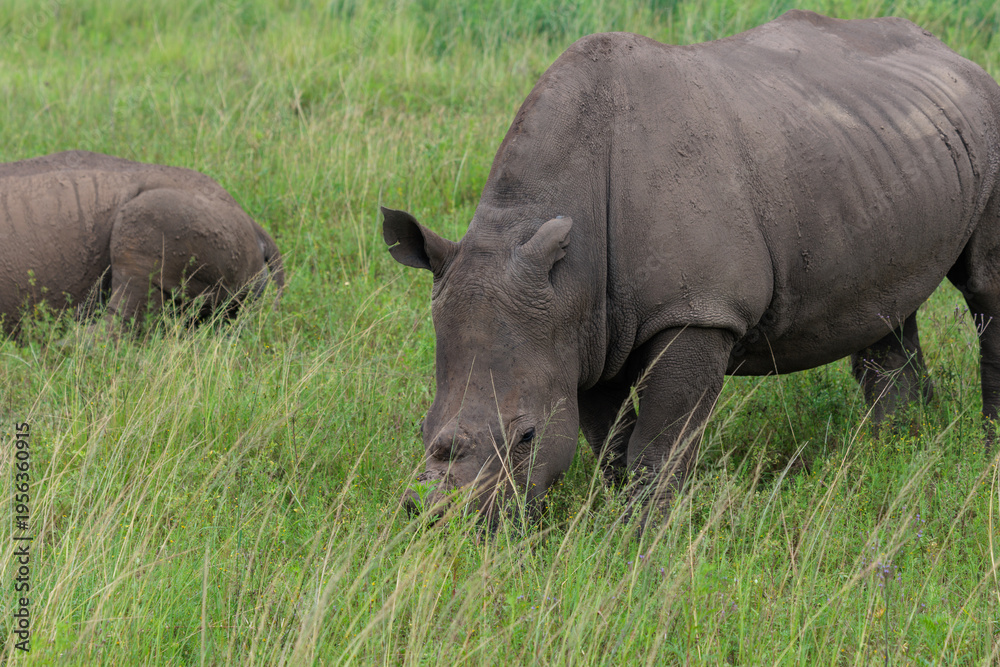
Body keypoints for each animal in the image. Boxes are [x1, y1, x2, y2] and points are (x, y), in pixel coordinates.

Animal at [383, 10, 1000, 523]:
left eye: (527, 437)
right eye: (422, 428)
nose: (439, 520)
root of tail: (953, 54)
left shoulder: (698, 310)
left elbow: (660, 438)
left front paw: (646, 533)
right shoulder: (583, 331)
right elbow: (609, 437)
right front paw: (620, 513)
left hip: (985, 117)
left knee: (984, 291)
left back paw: (982, 448)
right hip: (878, 149)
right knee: (887, 305)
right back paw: (899, 449)